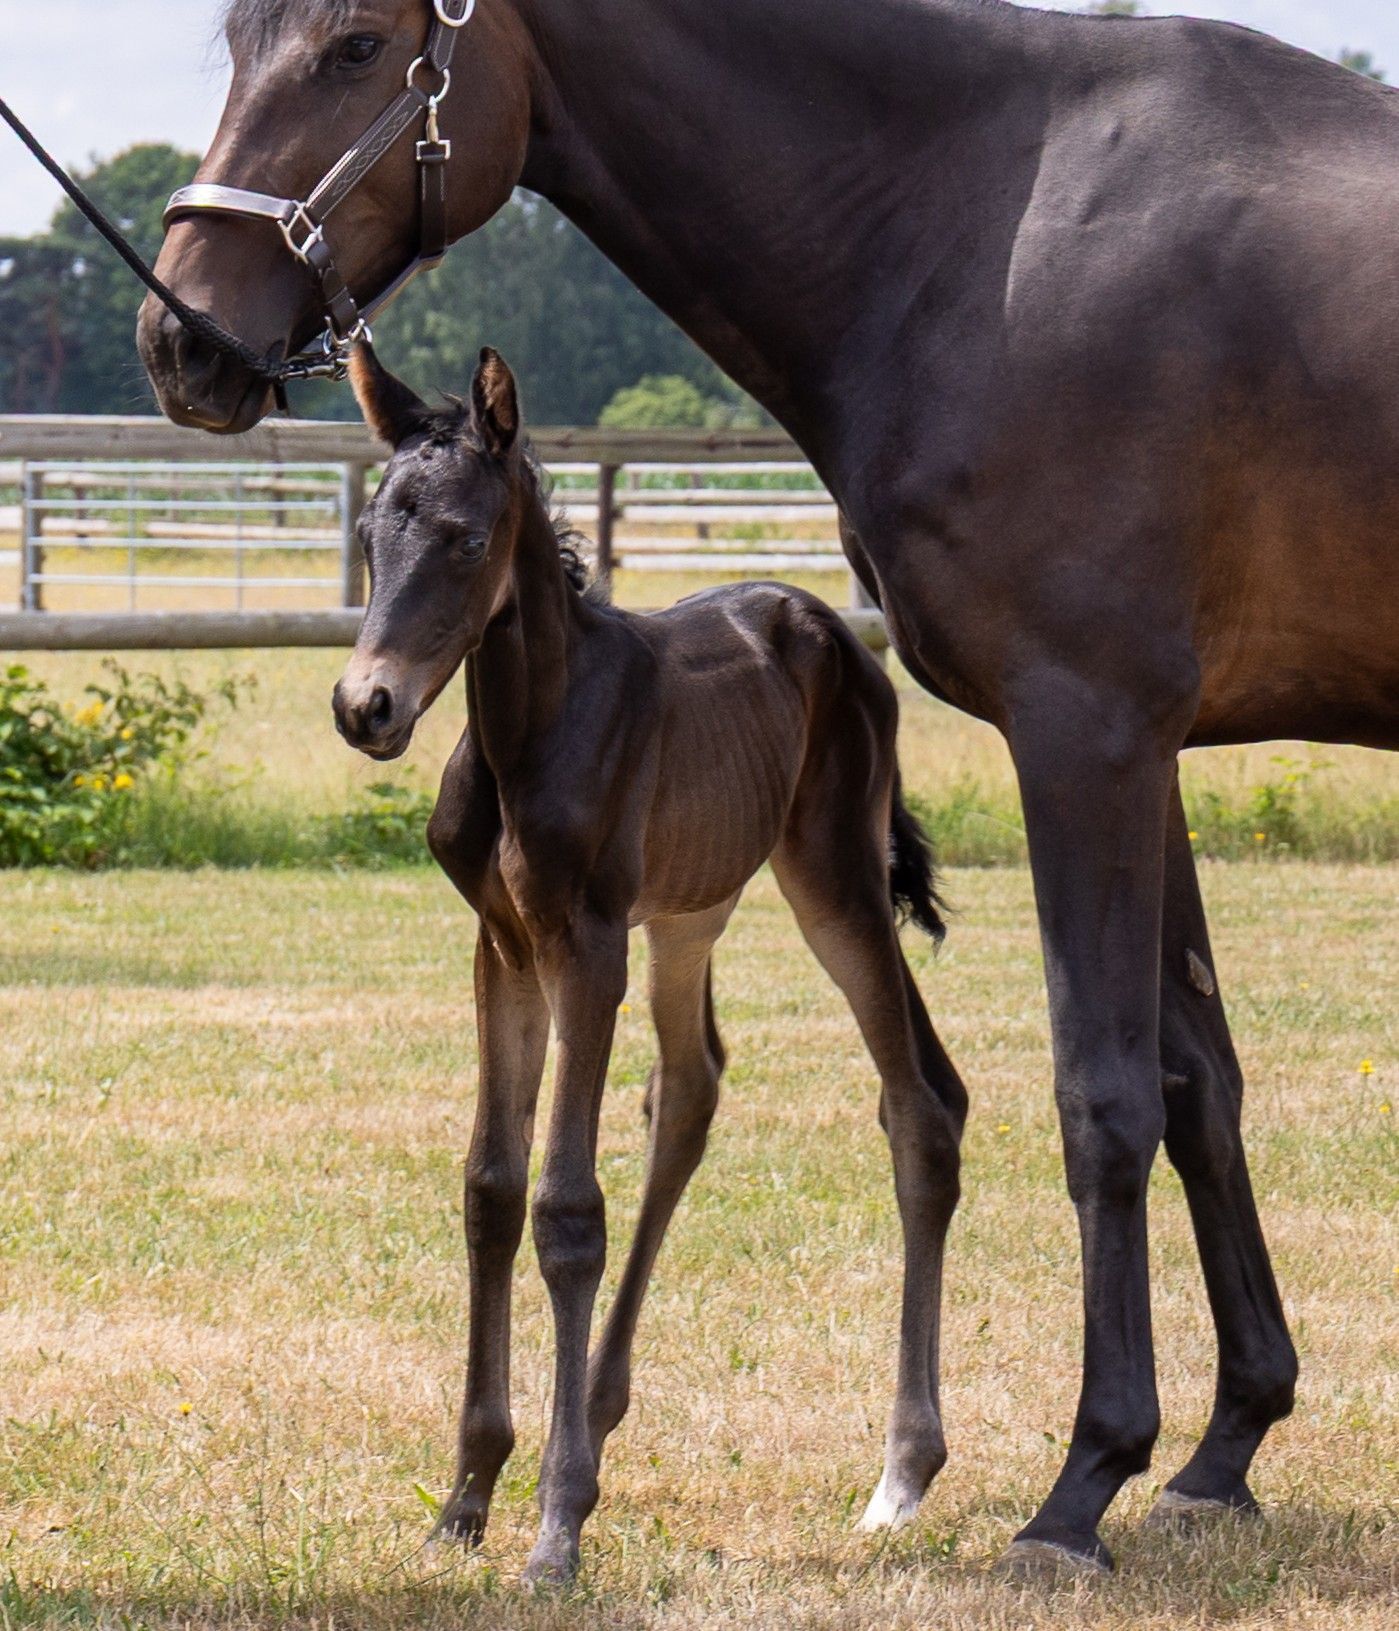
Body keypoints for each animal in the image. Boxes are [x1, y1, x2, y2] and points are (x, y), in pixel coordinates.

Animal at [330, 341, 965, 1582]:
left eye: (465, 540)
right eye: (374, 532)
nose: (364, 705)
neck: (529, 732)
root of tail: (826, 625)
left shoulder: (585, 946)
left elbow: (567, 1207)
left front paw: (554, 1525)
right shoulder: (503, 945)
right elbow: (491, 1186)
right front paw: (468, 1494)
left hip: (832, 881)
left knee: (918, 1103)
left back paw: (901, 1472)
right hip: (689, 914)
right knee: (697, 1085)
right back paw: (600, 1404)